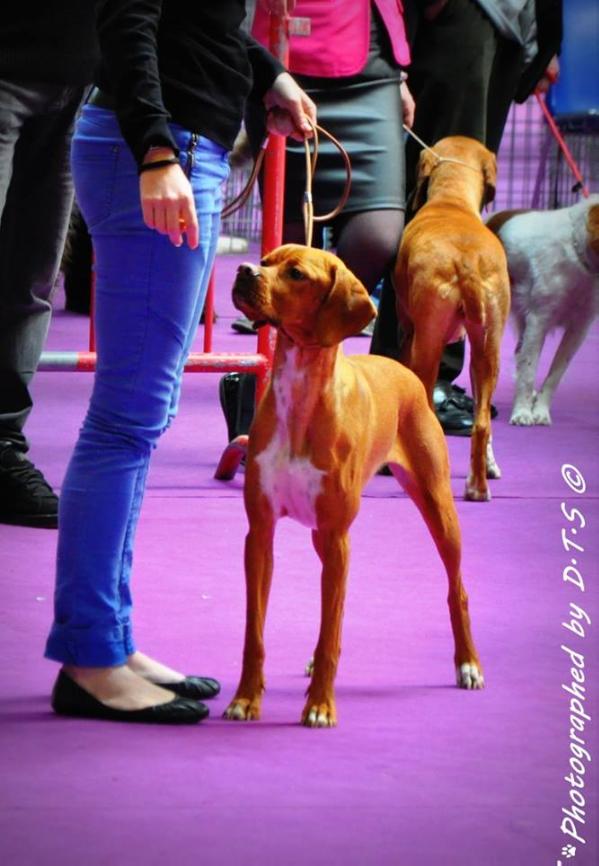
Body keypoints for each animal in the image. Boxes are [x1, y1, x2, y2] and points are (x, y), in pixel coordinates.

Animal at [223, 245, 486, 728]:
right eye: (266, 260)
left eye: (296, 273)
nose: (244, 270)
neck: (301, 394)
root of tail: (405, 371)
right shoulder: (261, 534)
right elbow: (256, 631)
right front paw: (246, 699)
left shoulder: (336, 534)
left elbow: (330, 628)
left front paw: (320, 706)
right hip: (321, 538)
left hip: (436, 507)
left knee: (456, 589)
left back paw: (468, 664)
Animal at [394, 135, 510, 500]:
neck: (452, 202)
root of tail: (467, 262)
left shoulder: (409, 333)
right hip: (489, 349)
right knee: (483, 421)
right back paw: (478, 485)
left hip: (426, 346)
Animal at [488, 196, 599, 426]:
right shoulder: (539, 319)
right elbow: (530, 369)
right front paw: (522, 412)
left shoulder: (580, 327)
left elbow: (555, 374)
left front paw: (540, 411)